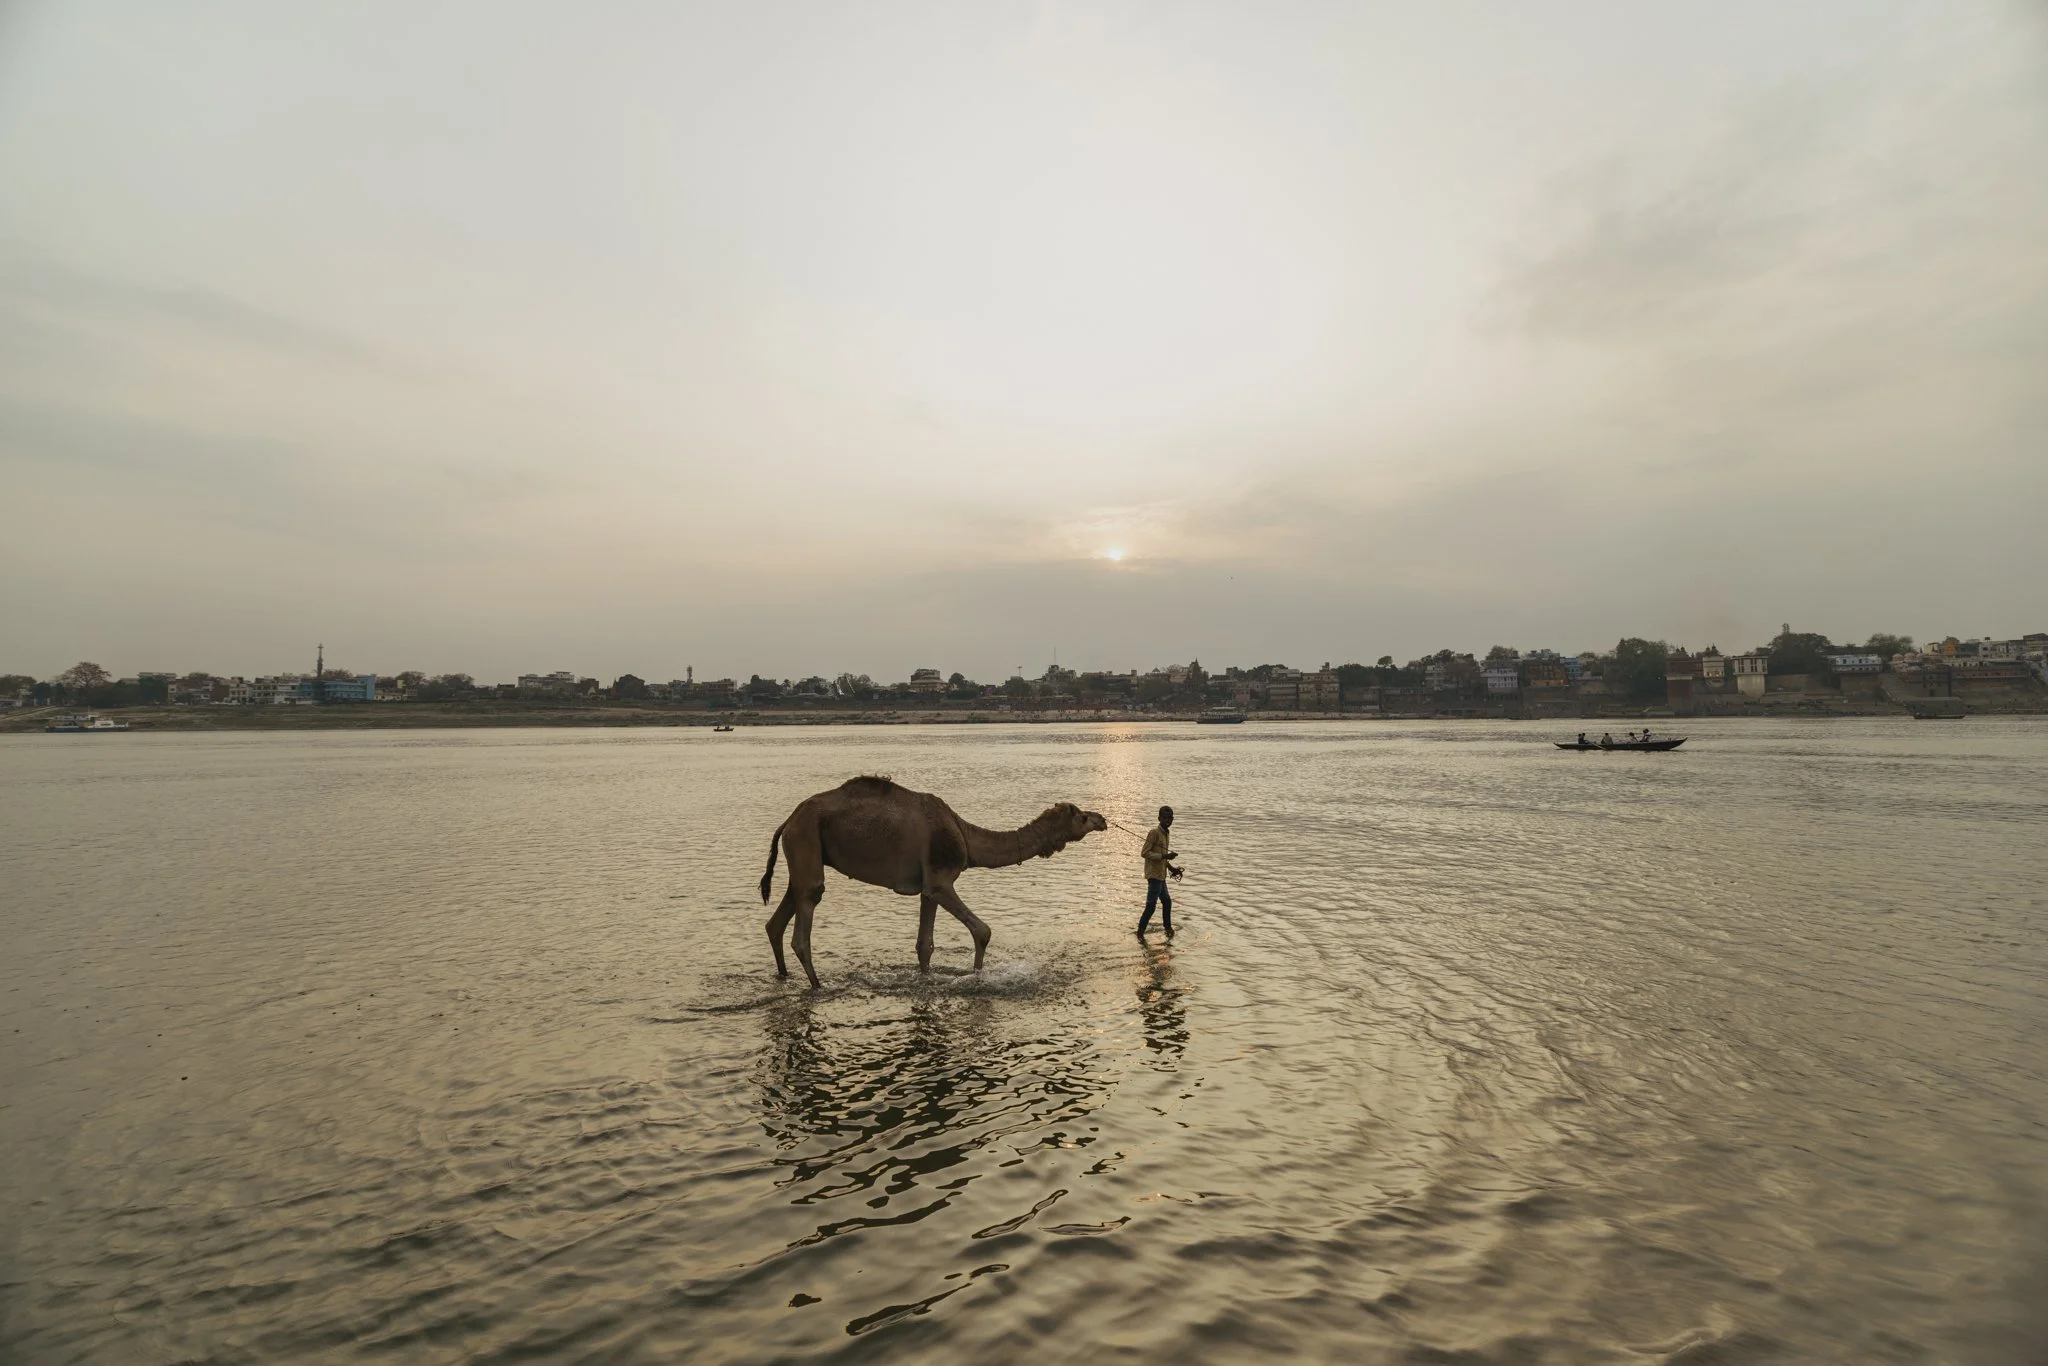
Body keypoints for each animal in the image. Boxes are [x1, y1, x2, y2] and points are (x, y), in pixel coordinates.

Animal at [758, 776, 1108, 986]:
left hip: (803, 851)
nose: (1102, 819)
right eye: (1082, 816)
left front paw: (926, 979)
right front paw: (977, 976)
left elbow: (924, 945)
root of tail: (787, 821)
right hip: (805, 838)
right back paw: (817, 985)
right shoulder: (941, 880)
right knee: (806, 916)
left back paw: (784, 976)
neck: (965, 836)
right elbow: (983, 930)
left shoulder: (927, 888)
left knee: (783, 912)